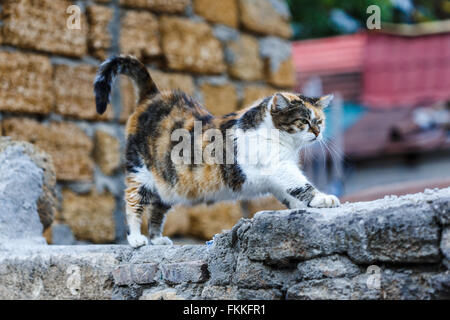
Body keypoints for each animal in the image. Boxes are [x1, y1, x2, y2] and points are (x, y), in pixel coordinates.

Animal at [95, 56, 342, 249]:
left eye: (319, 121)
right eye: (303, 121)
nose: (318, 133)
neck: (278, 136)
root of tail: (153, 95)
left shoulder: (275, 176)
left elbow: (289, 192)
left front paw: (303, 206)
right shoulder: (278, 166)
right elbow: (300, 184)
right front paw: (323, 199)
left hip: (168, 181)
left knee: (157, 207)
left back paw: (157, 239)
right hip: (140, 172)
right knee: (133, 202)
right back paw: (136, 239)